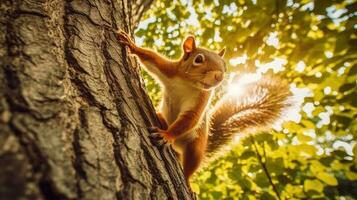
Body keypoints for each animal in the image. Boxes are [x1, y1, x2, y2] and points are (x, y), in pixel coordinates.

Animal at [115, 29, 290, 188]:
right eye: (198, 59)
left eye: (224, 66)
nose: (219, 76)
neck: (189, 83)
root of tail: (178, 146)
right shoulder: (170, 70)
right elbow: (151, 58)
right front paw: (131, 45)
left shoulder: (201, 99)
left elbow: (191, 118)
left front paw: (167, 135)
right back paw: (160, 117)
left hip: (195, 146)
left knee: (190, 167)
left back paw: (187, 182)